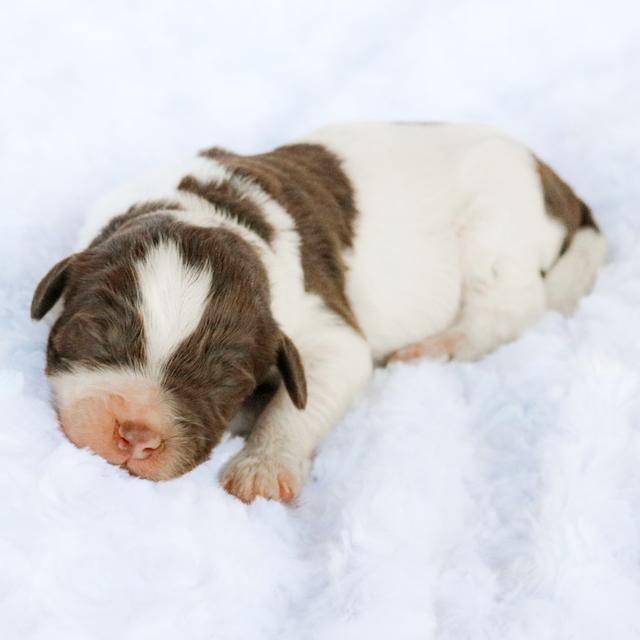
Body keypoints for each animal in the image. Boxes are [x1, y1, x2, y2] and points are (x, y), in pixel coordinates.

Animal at [32, 124, 608, 504]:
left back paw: (435, 347)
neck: (213, 213)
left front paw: (262, 467)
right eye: (96, 335)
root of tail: (554, 181)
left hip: (494, 228)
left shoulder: (326, 331)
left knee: (513, 306)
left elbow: (300, 401)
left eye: (224, 382)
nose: (136, 435)